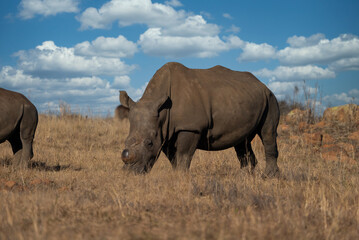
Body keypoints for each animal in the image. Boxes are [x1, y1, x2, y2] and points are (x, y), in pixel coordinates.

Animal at [121, 62, 282, 177]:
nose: (131, 173)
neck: (163, 112)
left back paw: (269, 177)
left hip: (271, 98)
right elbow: (173, 158)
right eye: (125, 141)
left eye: (149, 143)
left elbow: (183, 155)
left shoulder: (190, 127)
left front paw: (181, 177)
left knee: (268, 133)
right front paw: (176, 176)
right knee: (242, 142)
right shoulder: (165, 131)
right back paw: (245, 176)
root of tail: (262, 84)